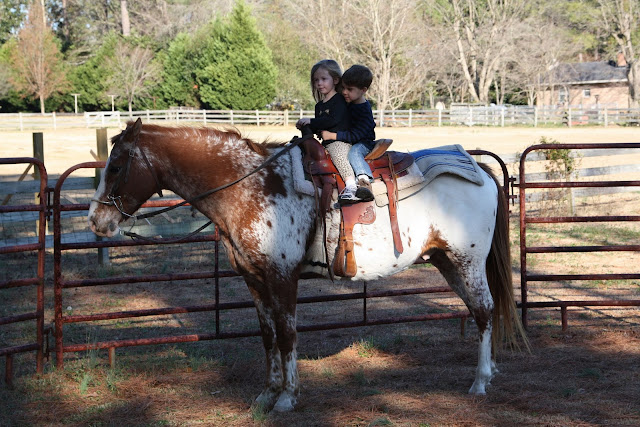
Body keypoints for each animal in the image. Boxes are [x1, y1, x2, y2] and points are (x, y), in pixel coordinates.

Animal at [88, 118, 526, 412]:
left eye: (117, 166)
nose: (96, 221)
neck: (251, 186)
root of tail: (479, 169)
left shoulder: (282, 278)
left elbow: (287, 336)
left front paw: (288, 397)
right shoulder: (254, 280)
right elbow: (267, 337)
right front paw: (267, 393)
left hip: (467, 260)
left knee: (484, 311)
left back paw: (480, 381)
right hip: (447, 262)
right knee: (480, 310)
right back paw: (489, 371)